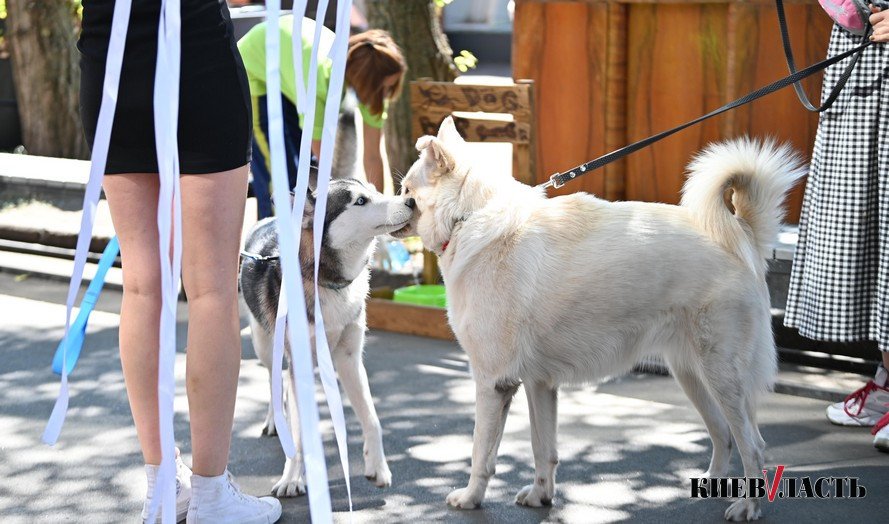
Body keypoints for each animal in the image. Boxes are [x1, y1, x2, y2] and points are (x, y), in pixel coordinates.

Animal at [238, 176, 414, 496]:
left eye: (374, 190)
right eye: (360, 201)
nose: (411, 201)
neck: (327, 281)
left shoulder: (349, 359)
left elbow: (372, 418)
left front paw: (377, 466)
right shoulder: (299, 363)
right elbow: (299, 435)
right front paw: (292, 478)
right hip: (264, 344)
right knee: (273, 380)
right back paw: (275, 421)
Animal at [402, 116, 804, 520]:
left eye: (407, 190)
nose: (395, 201)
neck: (468, 217)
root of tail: (743, 233)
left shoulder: (493, 384)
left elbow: (481, 455)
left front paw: (471, 498)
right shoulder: (538, 385)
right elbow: (542, 449)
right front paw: (541, 496)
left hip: (721, 378)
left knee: (753, 444)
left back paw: (748, 506)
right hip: (693, 376)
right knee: (723, 435)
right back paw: (710, 485)